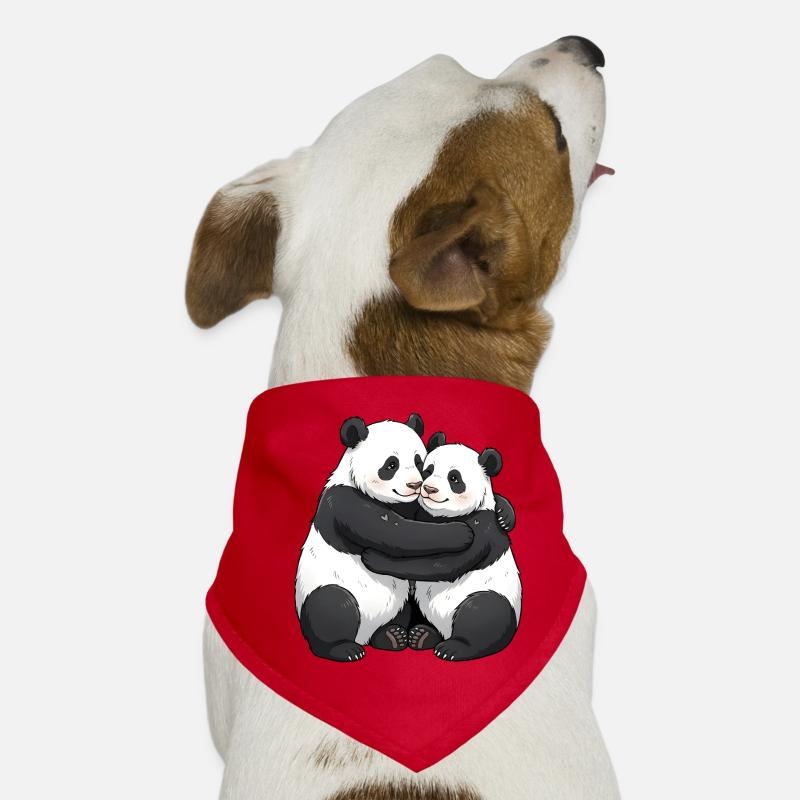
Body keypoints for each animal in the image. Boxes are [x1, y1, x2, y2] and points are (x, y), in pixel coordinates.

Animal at [295, 414, 477, 662]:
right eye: (391, 465)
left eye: (419, 463)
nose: (414, 485)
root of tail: (364, 636)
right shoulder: (344, 502)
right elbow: (394, 531)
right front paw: (460, 532)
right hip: (324, 591)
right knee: (331, 604)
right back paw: (345, 649)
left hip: (399, 602)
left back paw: (393, 636)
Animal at [361, 433, 521, 661]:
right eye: (428, 470)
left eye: (454, 478)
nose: (429, 489)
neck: (442, 515)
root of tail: (446, 632)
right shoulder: (421, 514)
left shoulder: (482, 528)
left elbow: (443, 565)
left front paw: (375, 558)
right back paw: (421, 635)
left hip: (491, 599)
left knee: (483, 611)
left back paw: (452, 648)